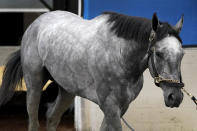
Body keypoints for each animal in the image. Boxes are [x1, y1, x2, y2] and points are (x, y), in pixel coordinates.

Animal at [0, 10, 185, 130]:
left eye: (182, 54)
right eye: (159, 53)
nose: (175, 97)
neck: (119, 56)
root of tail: (35, 24)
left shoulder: (121, 107)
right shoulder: (110, 107)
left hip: (67, 91)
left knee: (52, 117)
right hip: (34, 85)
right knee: (33, 121)